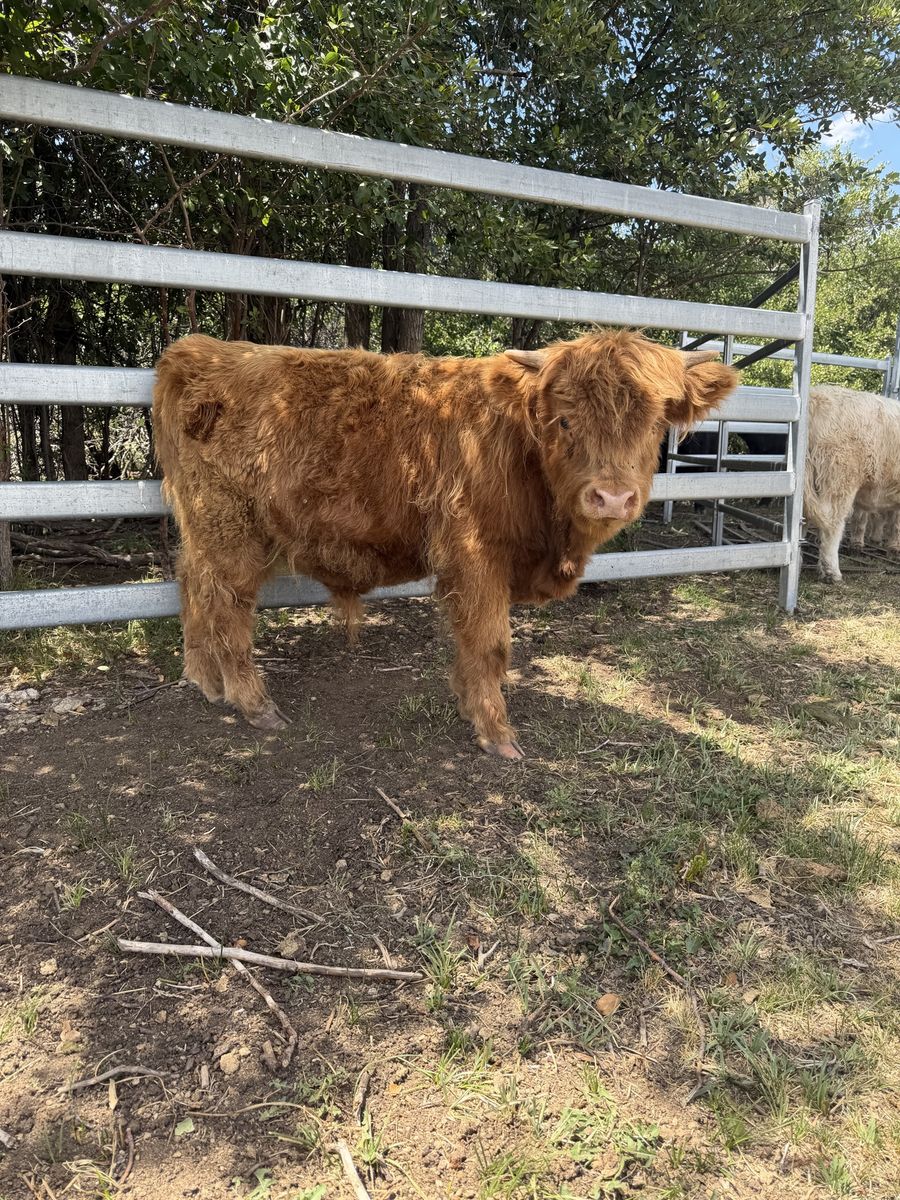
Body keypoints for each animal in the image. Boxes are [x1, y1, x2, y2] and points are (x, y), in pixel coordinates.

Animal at [153, 329, 738, 759]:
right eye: (564, 419)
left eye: (657, 423)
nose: (612, 497)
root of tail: (197, 350)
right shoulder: (475, 554)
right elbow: (489, 641)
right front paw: (496, 733)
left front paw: (465, 701)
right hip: (229, 529)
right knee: (228, 608)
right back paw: (254, 704)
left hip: (205, 532)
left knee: (191, 585)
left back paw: (204, 680)